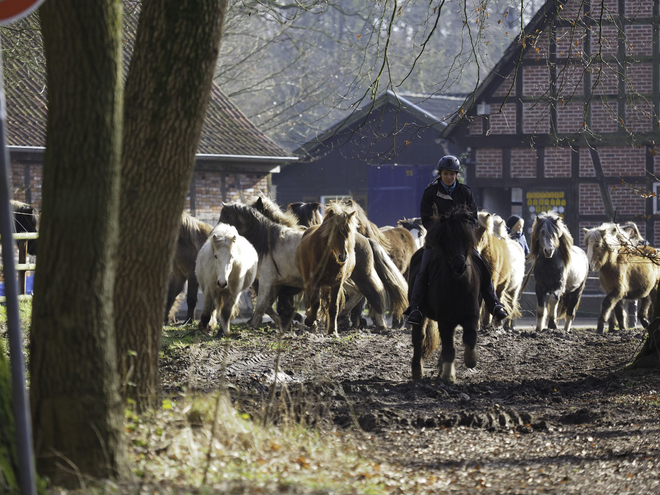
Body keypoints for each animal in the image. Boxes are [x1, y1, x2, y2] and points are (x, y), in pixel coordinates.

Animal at [296, 202, 356, 338]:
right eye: (334, 232)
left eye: (348, 232)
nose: (343, 256)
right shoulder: (314, 282)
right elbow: (315, 303)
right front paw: (310, 320)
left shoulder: (336, 283)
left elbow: (333, 307)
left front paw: (333, 331)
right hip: (309, 283)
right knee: (311, 301)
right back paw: (312, 324)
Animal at [410, 205, 482, 384]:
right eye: (447, 240)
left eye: (465, 239)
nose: (459, 266)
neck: (457, 285)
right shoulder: (445, 320)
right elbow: (449, 348)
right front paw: (448, 376)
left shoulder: (471, 316)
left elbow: (470, 338)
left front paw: (470, 360)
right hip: (420, 316)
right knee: (418, 338)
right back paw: (417, 371)